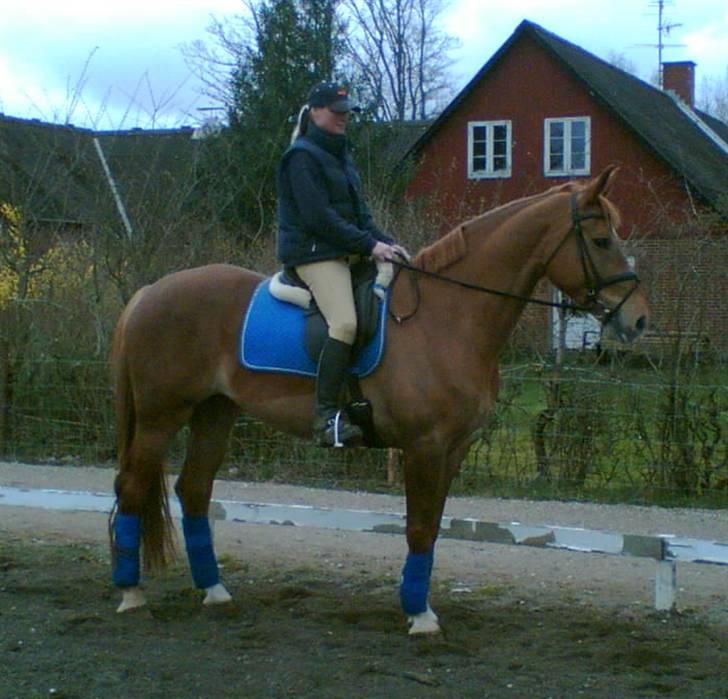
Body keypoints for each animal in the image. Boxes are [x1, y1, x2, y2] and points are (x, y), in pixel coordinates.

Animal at [108, 165, 648, 636]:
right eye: (601, 241)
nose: (638, 319)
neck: (449, 316)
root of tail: (150, 292)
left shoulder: (453, 449)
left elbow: (433, 526)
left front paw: (420, 606)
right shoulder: (425, 446)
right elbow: (419, 528)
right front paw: (420, 616)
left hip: (214, 413)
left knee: (194, 490)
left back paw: (215, 591)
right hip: (161, 416)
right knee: (132, 487)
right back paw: (132, 594)